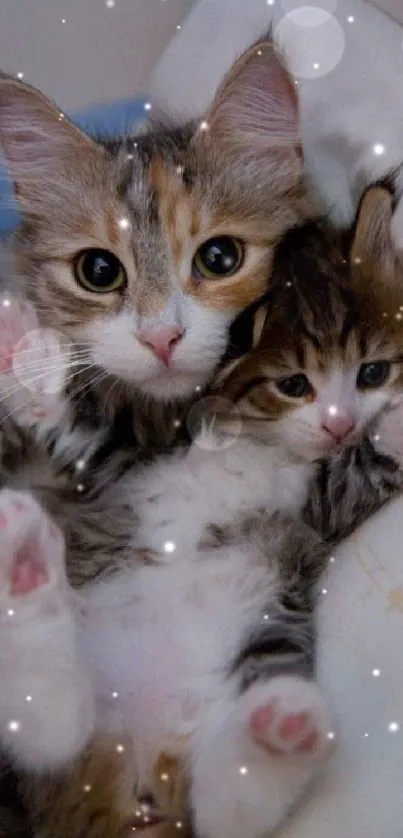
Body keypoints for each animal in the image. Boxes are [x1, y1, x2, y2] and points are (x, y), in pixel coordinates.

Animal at [0, 185, 403, 838]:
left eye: (373, 372)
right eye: (294, 384)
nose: (340, 424)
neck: (255, 439)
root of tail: (139, 767)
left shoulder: (322, 504)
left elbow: (362, 474)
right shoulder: (128, 461)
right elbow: (79, 431)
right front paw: (24, 353)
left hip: (264, 632)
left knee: (217, 809)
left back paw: (280, 730)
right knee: (51, 728)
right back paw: (26, 564)